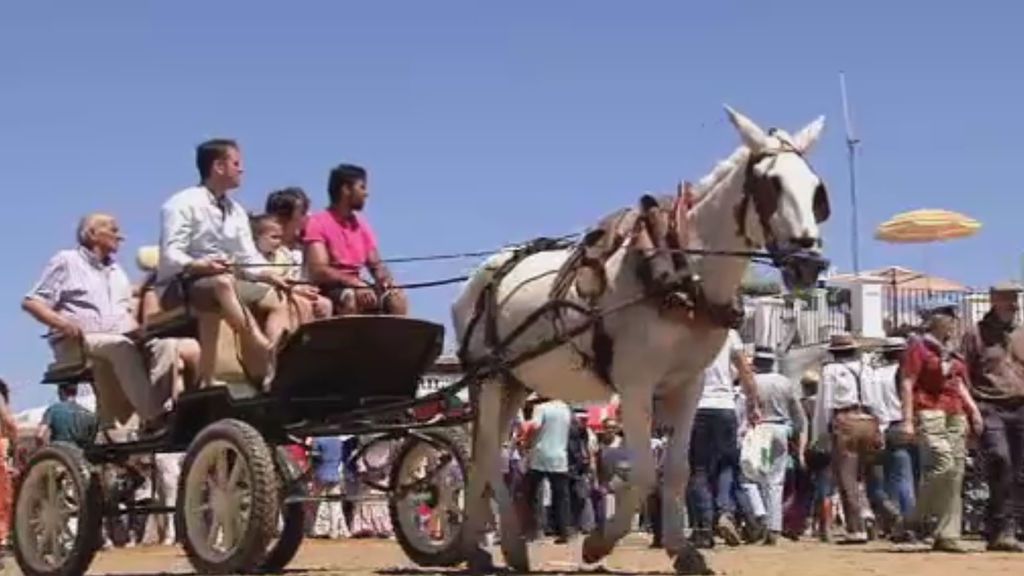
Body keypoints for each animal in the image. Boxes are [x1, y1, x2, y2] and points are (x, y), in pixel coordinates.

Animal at [454, 105, 831, 569]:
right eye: (771, 184)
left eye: (816, 190)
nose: (808, 262)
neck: (679, 273)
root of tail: (480, 277)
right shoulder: (635, 387)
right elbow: (644, 472)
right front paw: (599, 542)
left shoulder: (690, 385)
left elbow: (677, 470)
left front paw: (682, 549)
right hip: (488, 378)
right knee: (490, 456)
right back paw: (505, 545)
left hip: (515, 382)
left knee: (481, 458)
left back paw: (476, 546)